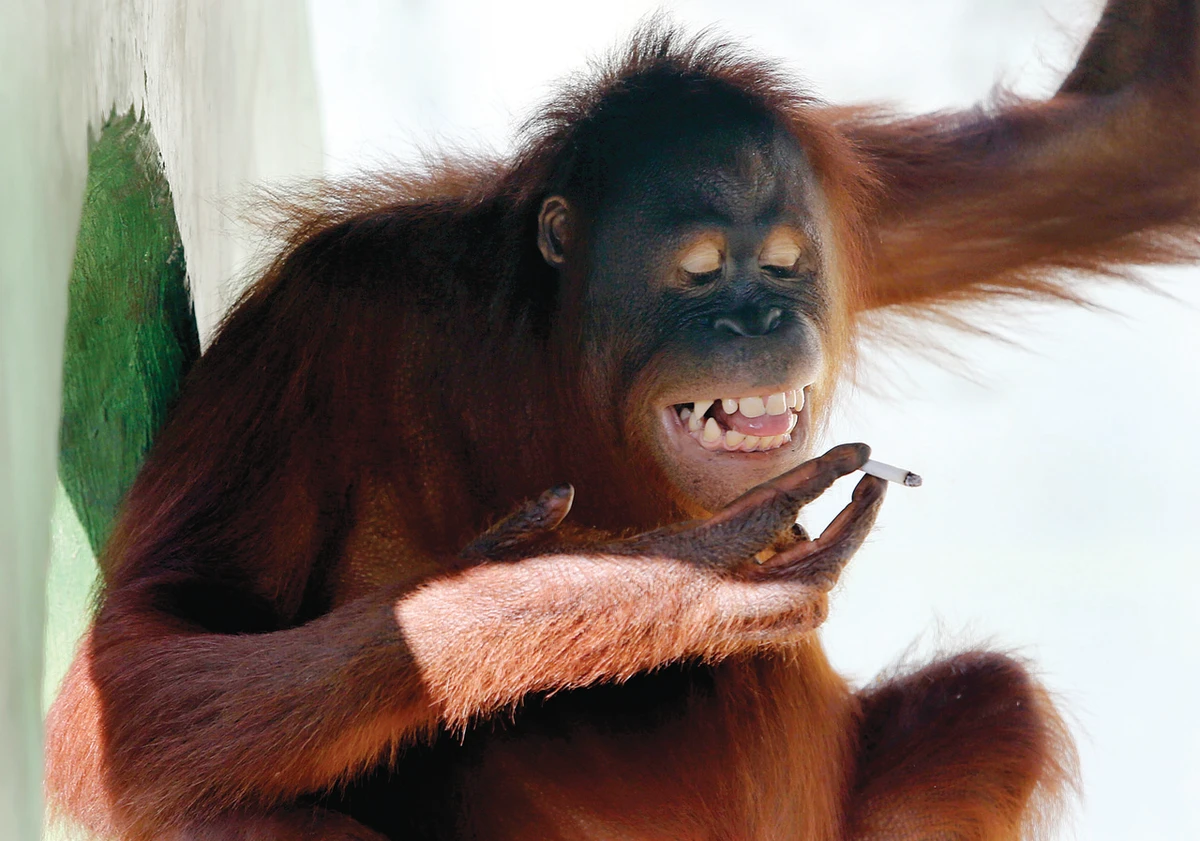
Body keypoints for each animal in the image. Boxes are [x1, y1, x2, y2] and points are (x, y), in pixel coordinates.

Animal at [45, 1, 1200, 839]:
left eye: (786, 263)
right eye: (700, 272)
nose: (761, 318)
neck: (553, 363)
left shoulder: (870, 212)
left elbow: (1126, 135)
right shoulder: (316, 331)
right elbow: (142, 658)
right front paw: (626, 586)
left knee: (991, 705)